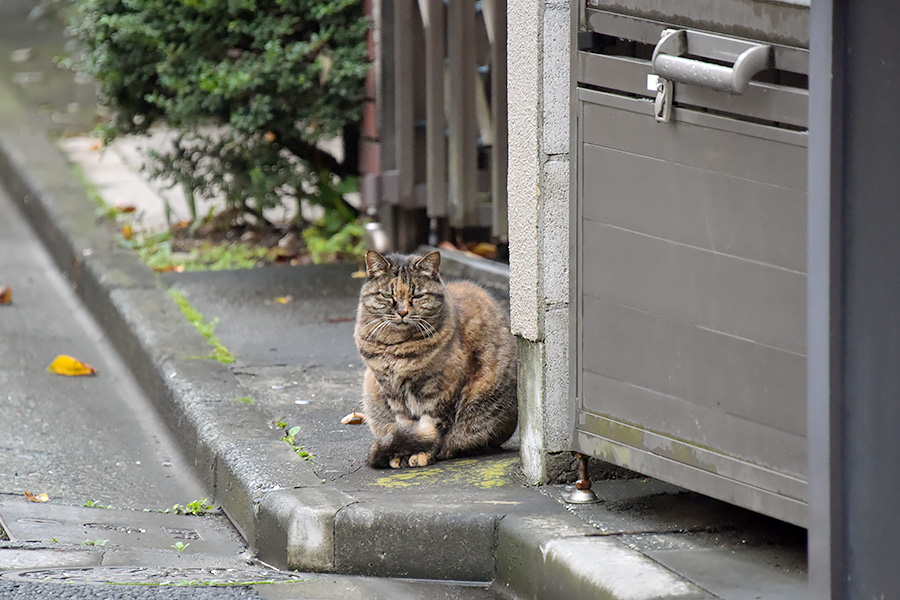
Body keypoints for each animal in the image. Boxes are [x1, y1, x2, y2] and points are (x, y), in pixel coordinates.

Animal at [354, 250, 516, 468]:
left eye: (417, 295)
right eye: (388, 295)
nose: (402, 312)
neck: (398, 347)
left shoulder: (440, 392)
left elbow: (433, 428)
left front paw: (422, 454)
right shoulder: (393, 393)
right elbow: (407, 425)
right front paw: (401, 454)